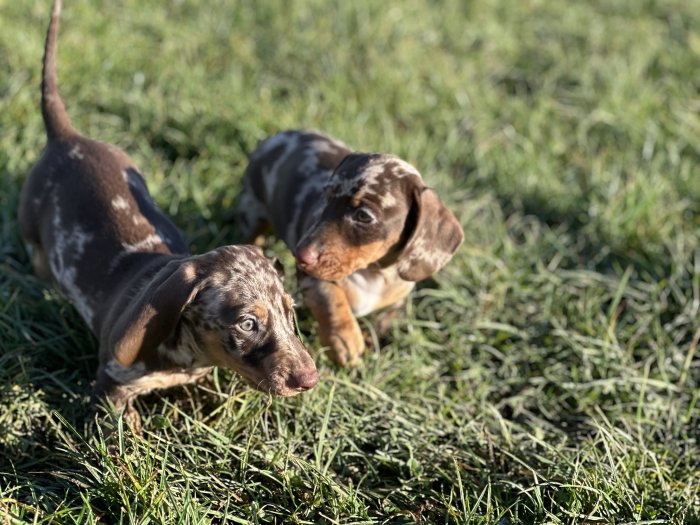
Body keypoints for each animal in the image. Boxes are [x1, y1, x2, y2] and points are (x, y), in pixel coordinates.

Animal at [18, 1, 318, 429]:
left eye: (290, 312)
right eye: (247, 323)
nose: (310, 379)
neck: (187, 354)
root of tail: (66, 137)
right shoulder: (112, 388)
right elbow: (124, 433)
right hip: (33, 234)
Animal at [237, 130, 464, 366]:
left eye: (363, 216)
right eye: (326, 197)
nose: (300, 255)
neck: (374, 274)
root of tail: (277, 136)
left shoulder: (398, 299)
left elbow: (382, 321)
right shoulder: (312, 279)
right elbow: (331, 299)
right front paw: (345, 339)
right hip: (251, 212)